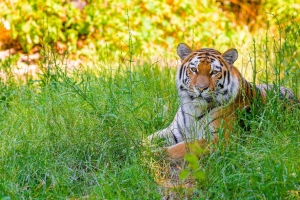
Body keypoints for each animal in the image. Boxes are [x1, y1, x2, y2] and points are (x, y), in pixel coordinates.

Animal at [148, 43, 296, 159]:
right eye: (194, 69)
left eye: (214, 72)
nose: (201, 88)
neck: (194, 108)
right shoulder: (173, 131)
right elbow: (149, 138)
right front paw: (142, 147)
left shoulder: (219, 138)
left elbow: (182, 147)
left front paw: (149, 155)